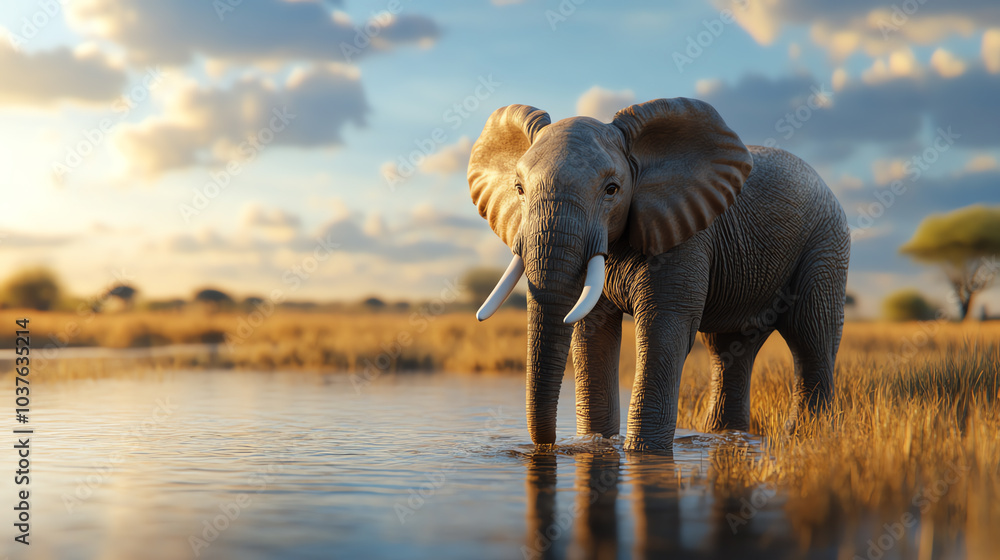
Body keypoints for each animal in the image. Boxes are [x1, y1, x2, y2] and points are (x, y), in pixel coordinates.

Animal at [467, 97, 850, 451]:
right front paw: (596, 443)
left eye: (612, 189)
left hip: (825, 243)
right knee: (730, 347)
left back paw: (805, 438)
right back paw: (726, 436)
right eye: (519, 189)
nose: (547, 446)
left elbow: (663, 325)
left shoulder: (686, 234)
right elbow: (592, 332)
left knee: (811, 336)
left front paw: (642, 453)